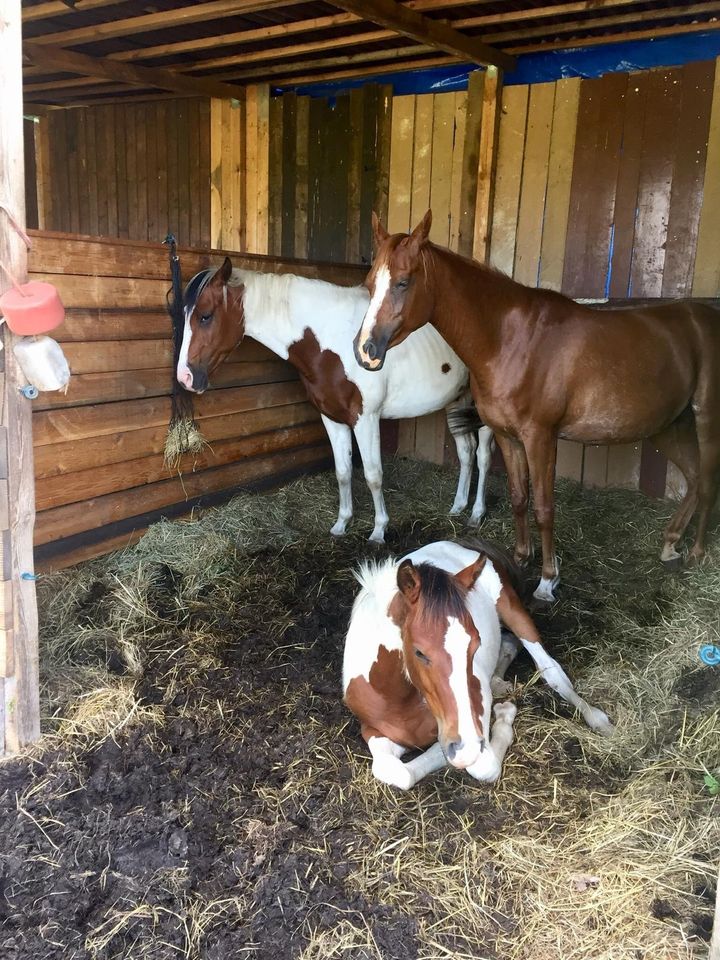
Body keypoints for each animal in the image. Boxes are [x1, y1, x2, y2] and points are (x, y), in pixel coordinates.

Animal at [344, 540, 612, 788]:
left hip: (513, 611)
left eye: (475, 643)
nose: (464, 744)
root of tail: (456, 544)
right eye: (419, 652)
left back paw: (598, 720)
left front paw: (503, 716)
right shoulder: (371, 730)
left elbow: (481, 765)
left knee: (552, 671)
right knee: (509, 645)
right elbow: (394, 771)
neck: (401, 699)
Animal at [354, 212, 720, 600]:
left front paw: (547, 579)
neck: (509, 339)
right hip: (669, 425)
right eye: (369, 284)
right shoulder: (506, 436)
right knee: (694, 478)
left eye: (403, 282)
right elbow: (518, 497)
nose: (365, 351)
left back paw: (697, 553)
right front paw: (519, 557)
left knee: (707, 481)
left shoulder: (540, 437)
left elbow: (544, 507)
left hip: (706, 419)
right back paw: (670, 545)